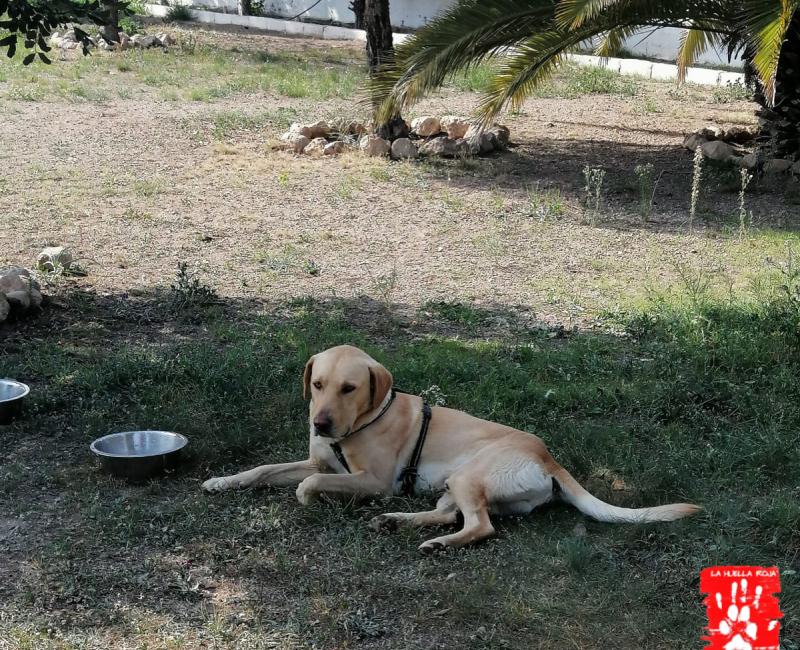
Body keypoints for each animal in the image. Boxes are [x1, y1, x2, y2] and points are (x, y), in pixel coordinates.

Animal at [203, 345, 699, 552]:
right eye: (319, 384)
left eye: (349, 388)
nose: (319, 423)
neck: (363, 421)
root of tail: (550, 459)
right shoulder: (315, 457)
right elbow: (263, 469)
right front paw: (222, 480)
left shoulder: (371, 481)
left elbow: (307, 484)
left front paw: (313, 499)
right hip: (452, 483)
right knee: (450, 514)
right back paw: (396, 522)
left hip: (468, 475)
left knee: (479, 526)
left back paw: (438, 544)